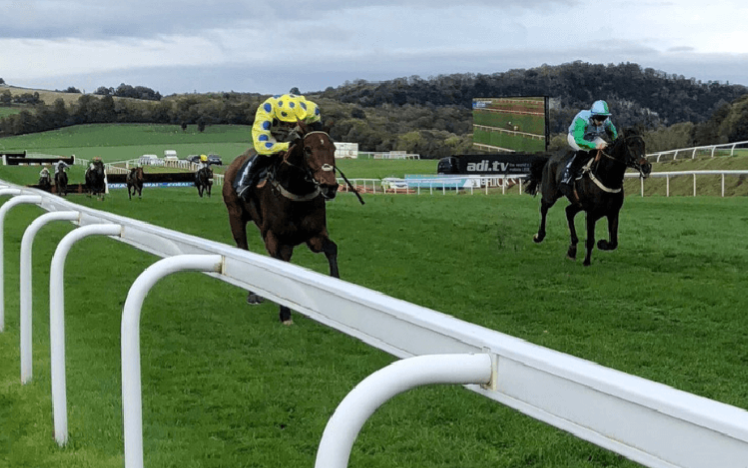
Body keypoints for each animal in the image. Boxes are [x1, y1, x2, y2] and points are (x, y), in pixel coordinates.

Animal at [221, 121, 340, 326]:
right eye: (308, 149)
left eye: (333, 148)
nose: (329, 186)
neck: (297, 191)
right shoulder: (272, 236)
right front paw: (285, 314)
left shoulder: (314, 234)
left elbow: (331, 248)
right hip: (235, 216)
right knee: (243, 248)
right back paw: (253, 295)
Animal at [524, 128, 652, 266]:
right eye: (630, 144)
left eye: (643, 143)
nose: (646, 167)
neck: (606, 176)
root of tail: (551, 157)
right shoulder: (591, 213)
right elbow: (590, 239)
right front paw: (586, 261)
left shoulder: (613, 212)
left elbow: (613, 243)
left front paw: (602, 244)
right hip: (551, 193)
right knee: (544, 206)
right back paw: (539, 236)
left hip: (579, 203)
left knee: (569, 211)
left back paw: (572, 249)